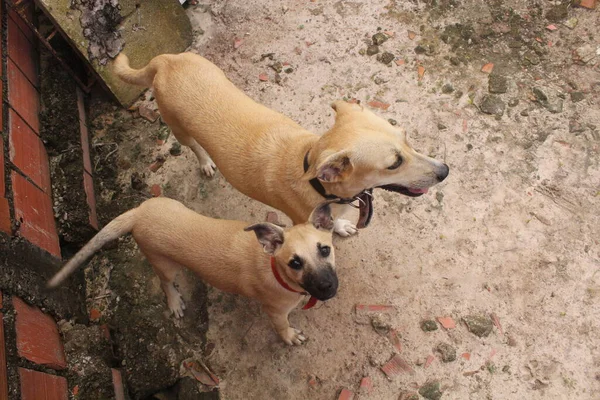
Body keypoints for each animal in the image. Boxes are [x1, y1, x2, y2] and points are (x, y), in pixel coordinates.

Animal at [47, 198, 338, 346]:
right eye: (295, 263)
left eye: (325, 249)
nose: (328, 287)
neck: (274, 269)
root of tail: (138, 213)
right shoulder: (275, 312)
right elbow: (282, 326)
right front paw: (289, 336)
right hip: (165, 265)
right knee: (165, 283)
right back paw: (174, 301)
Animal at [113, 52, 450, 236]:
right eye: (394, 163)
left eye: (406, 137)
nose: (445, 171)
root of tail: (165, 60)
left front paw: (342, 225)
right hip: (179, 129)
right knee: (193, 146)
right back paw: (205, 162)